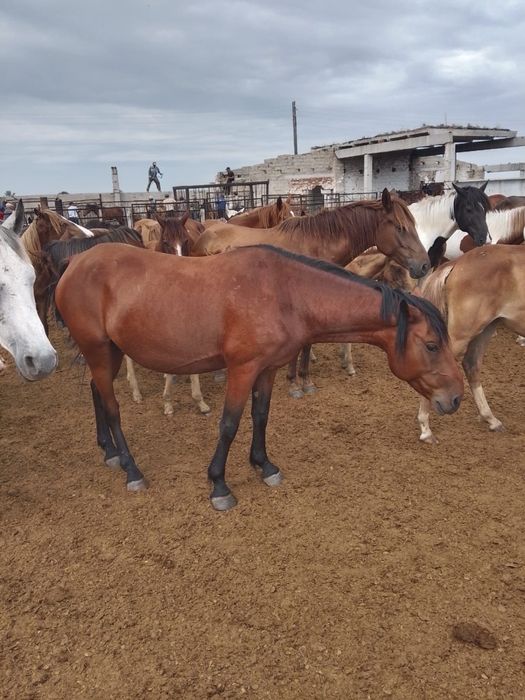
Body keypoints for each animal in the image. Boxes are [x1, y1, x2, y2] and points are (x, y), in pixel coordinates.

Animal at [51, 243, 462, 510]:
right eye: (431, 345)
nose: (455, 398)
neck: (285, 292)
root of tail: (74, 263)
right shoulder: (242, 369)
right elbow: (229, 424)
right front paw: (219, 485)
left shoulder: (268, 368)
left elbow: (260, 415)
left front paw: (264, 465)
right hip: (99, 350)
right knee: (112, 407)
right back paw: (131, 468)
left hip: (108, 352)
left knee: (96, 391)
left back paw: (109, 452)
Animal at [416, 244, 525, 443]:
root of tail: (457, 263)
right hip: (465, 333)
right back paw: (426, 429)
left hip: (487, 328)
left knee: (471, 364)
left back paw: (491, 419)